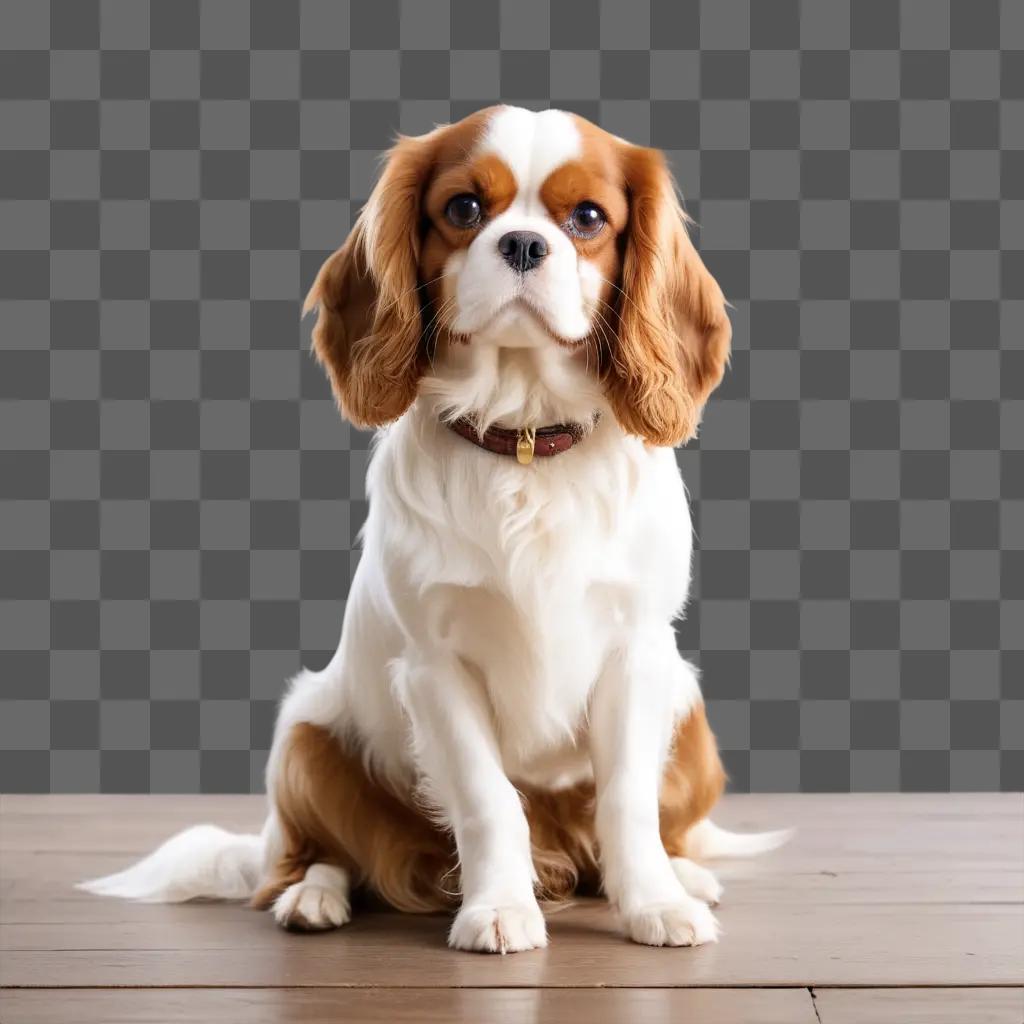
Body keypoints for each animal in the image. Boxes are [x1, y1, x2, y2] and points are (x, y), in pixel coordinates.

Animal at [83, 103, 786, 950]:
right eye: (464, 209)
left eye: (588, 218)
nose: (523, 244)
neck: (524, 440)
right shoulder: (436, 668)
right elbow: (488, 800)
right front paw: (498, 910)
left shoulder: (639, 655)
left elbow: (625, 800)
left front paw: (654, 903)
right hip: (303, 738)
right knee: (302, 857)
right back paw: (313, 897)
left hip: (692, 721)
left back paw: (682, 876)